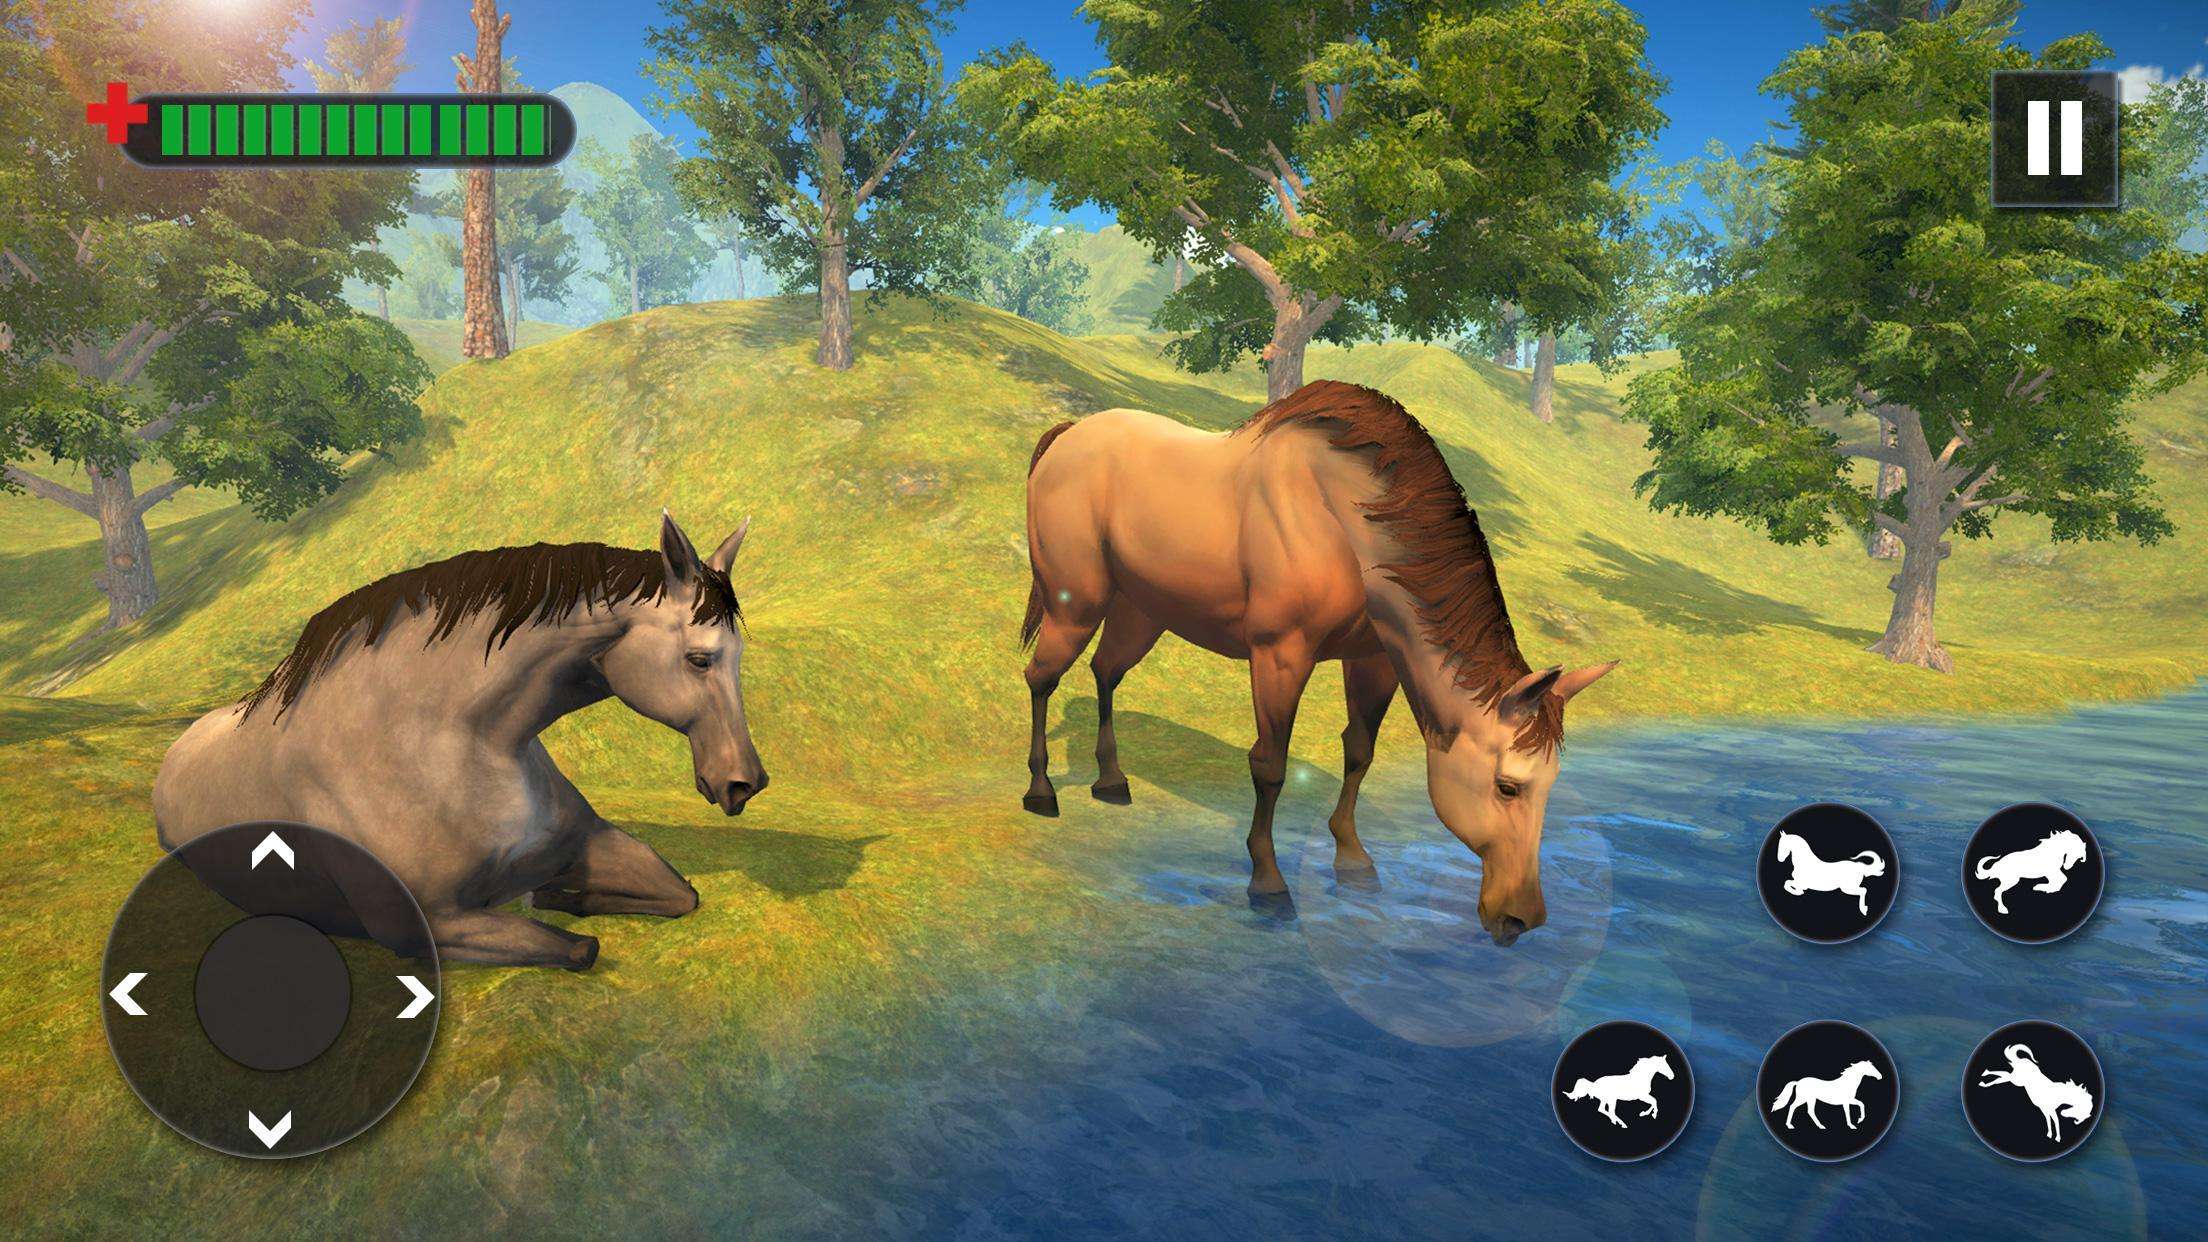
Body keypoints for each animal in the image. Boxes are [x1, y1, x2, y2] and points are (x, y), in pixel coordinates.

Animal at [152, 513, 767, 970]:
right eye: (699, 659)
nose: (746, 782)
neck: (454, 739)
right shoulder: (431, 925)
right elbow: (578, 949)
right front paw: (549, 902)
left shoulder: (586, 843)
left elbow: (681, 894)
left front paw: (554, 894)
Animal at [1018, 381, 1615, 945]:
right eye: (1508, 787)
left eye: (1551, 783)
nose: (1522, 919)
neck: (1343, 519)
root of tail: (1069, 436)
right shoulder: (1280, 653)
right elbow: (1270, 765)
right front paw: (1267, 881)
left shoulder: (1374, 659)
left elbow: (1360, 752)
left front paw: (1351, 858)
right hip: (1077, 605)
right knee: (1041, 678)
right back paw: (1041, 792)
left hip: (1139, 611)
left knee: (1105, 673)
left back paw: (1111, 781)